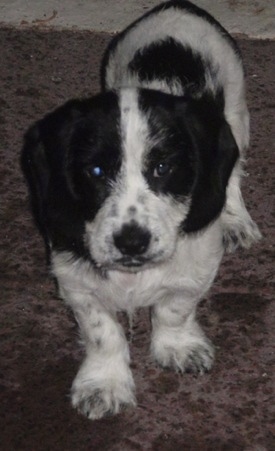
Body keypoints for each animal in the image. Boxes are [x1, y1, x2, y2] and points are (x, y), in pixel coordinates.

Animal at [21, 1, 260, 422]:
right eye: (96, 171)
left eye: (163, 168)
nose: (131, 242)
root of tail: (177, 5)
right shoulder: (75, 282)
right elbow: (103, 332)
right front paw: (104, 384)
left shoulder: (194, 270)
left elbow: (174, 308)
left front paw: (177, 347)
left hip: (236, 110)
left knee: (234, 172)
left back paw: (235, 221)